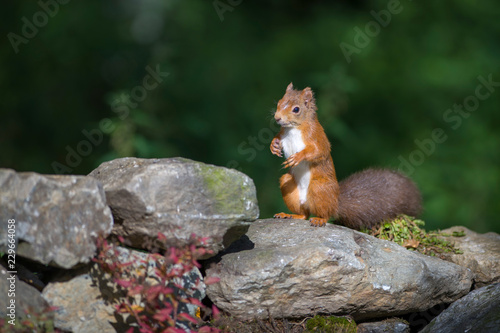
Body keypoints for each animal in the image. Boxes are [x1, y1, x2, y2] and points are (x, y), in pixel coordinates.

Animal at [270, 83, 422, 228]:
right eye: (279, 102)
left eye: (296, 109)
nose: (277, 118)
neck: (293, 128)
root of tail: (336, 202)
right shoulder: (284, 133)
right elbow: (278, 138)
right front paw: (274, 145)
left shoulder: (316, 136)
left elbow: (319, 151)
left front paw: (298, 157)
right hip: (288, 186)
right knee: (304, 214)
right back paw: (289, 215)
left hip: (319, 188)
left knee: (325, 213)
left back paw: (319, 219)